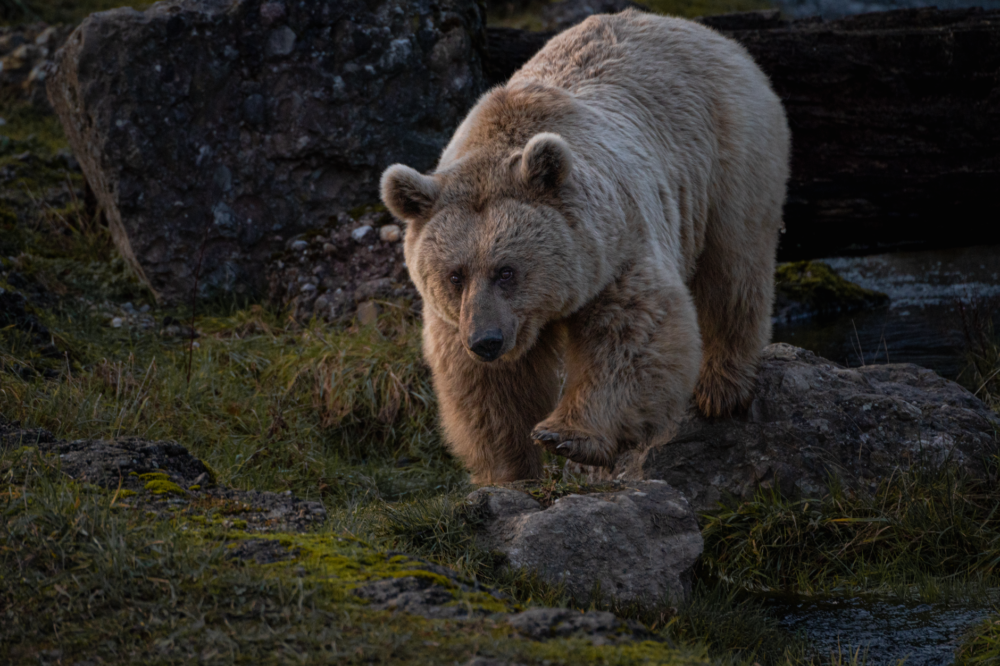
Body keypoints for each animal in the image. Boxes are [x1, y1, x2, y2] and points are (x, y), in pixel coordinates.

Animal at [380, 10, 790, 484]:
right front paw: (510, 470)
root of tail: (695, 27)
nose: (486, 340)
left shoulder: (616, 248)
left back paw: (721, 387)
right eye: (454, 275)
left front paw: (567, 436)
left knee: (733, 268)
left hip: (729, 158)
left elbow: (630, 335)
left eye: (506, 270)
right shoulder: (461, 319)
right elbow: (490, 389)